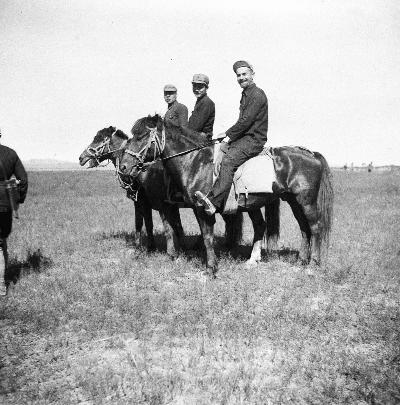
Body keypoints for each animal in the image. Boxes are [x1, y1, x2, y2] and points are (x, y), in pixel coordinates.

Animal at [78, 125, 186, 256]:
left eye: (98, 139)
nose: (81, 157)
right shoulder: (156, 205)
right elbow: (166, 225)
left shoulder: (143, 202)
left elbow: (142, 223)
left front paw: (143, 247)